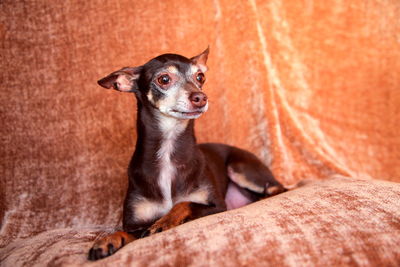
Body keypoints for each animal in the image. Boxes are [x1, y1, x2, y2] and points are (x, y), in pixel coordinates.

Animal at [88, 47, 286, 260]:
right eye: (164, 79)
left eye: (200, 77)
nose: (201, 97)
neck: (168, 149)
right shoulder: (135, 224)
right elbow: (126, 231)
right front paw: (107, 240)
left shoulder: (217, 206)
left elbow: (184, 204)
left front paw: (164, 222)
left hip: (240, 168)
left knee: (279, 189)